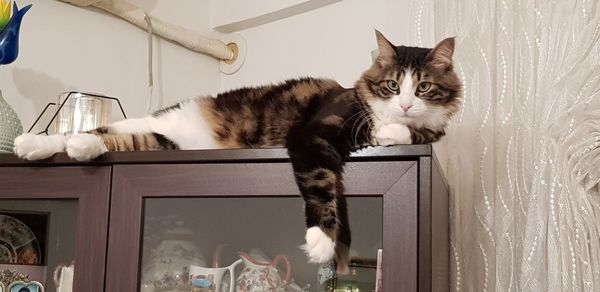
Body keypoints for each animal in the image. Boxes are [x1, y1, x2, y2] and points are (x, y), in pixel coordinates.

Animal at [11, 30, 462, 272]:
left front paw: (394, 132)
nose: (405, 104)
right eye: (392, 85)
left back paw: (74, 146)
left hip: (158, 140)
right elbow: (321, 184)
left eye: (423, 87)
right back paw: (31, 143)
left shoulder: (420, 133)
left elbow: (408, 135)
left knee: (106, 138)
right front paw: (320, 240)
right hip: (152, 127)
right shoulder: (312, 136)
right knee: (99, 129)